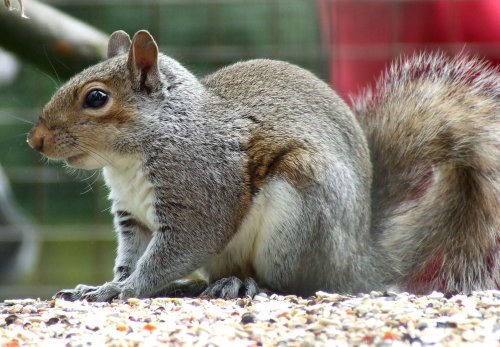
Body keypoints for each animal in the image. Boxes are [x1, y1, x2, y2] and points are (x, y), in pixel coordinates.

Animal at [26, 30, 496, 302]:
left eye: (96, 98)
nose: (36, 141)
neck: (128, 159)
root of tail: (357, 261)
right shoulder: (132, 218)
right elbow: (132, 255)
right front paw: (105, 284)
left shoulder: (201, 192)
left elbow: (170, 253)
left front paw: (126, 289)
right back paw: (197, 284)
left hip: (301, 214)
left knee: (297, 284)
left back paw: (248, 285)